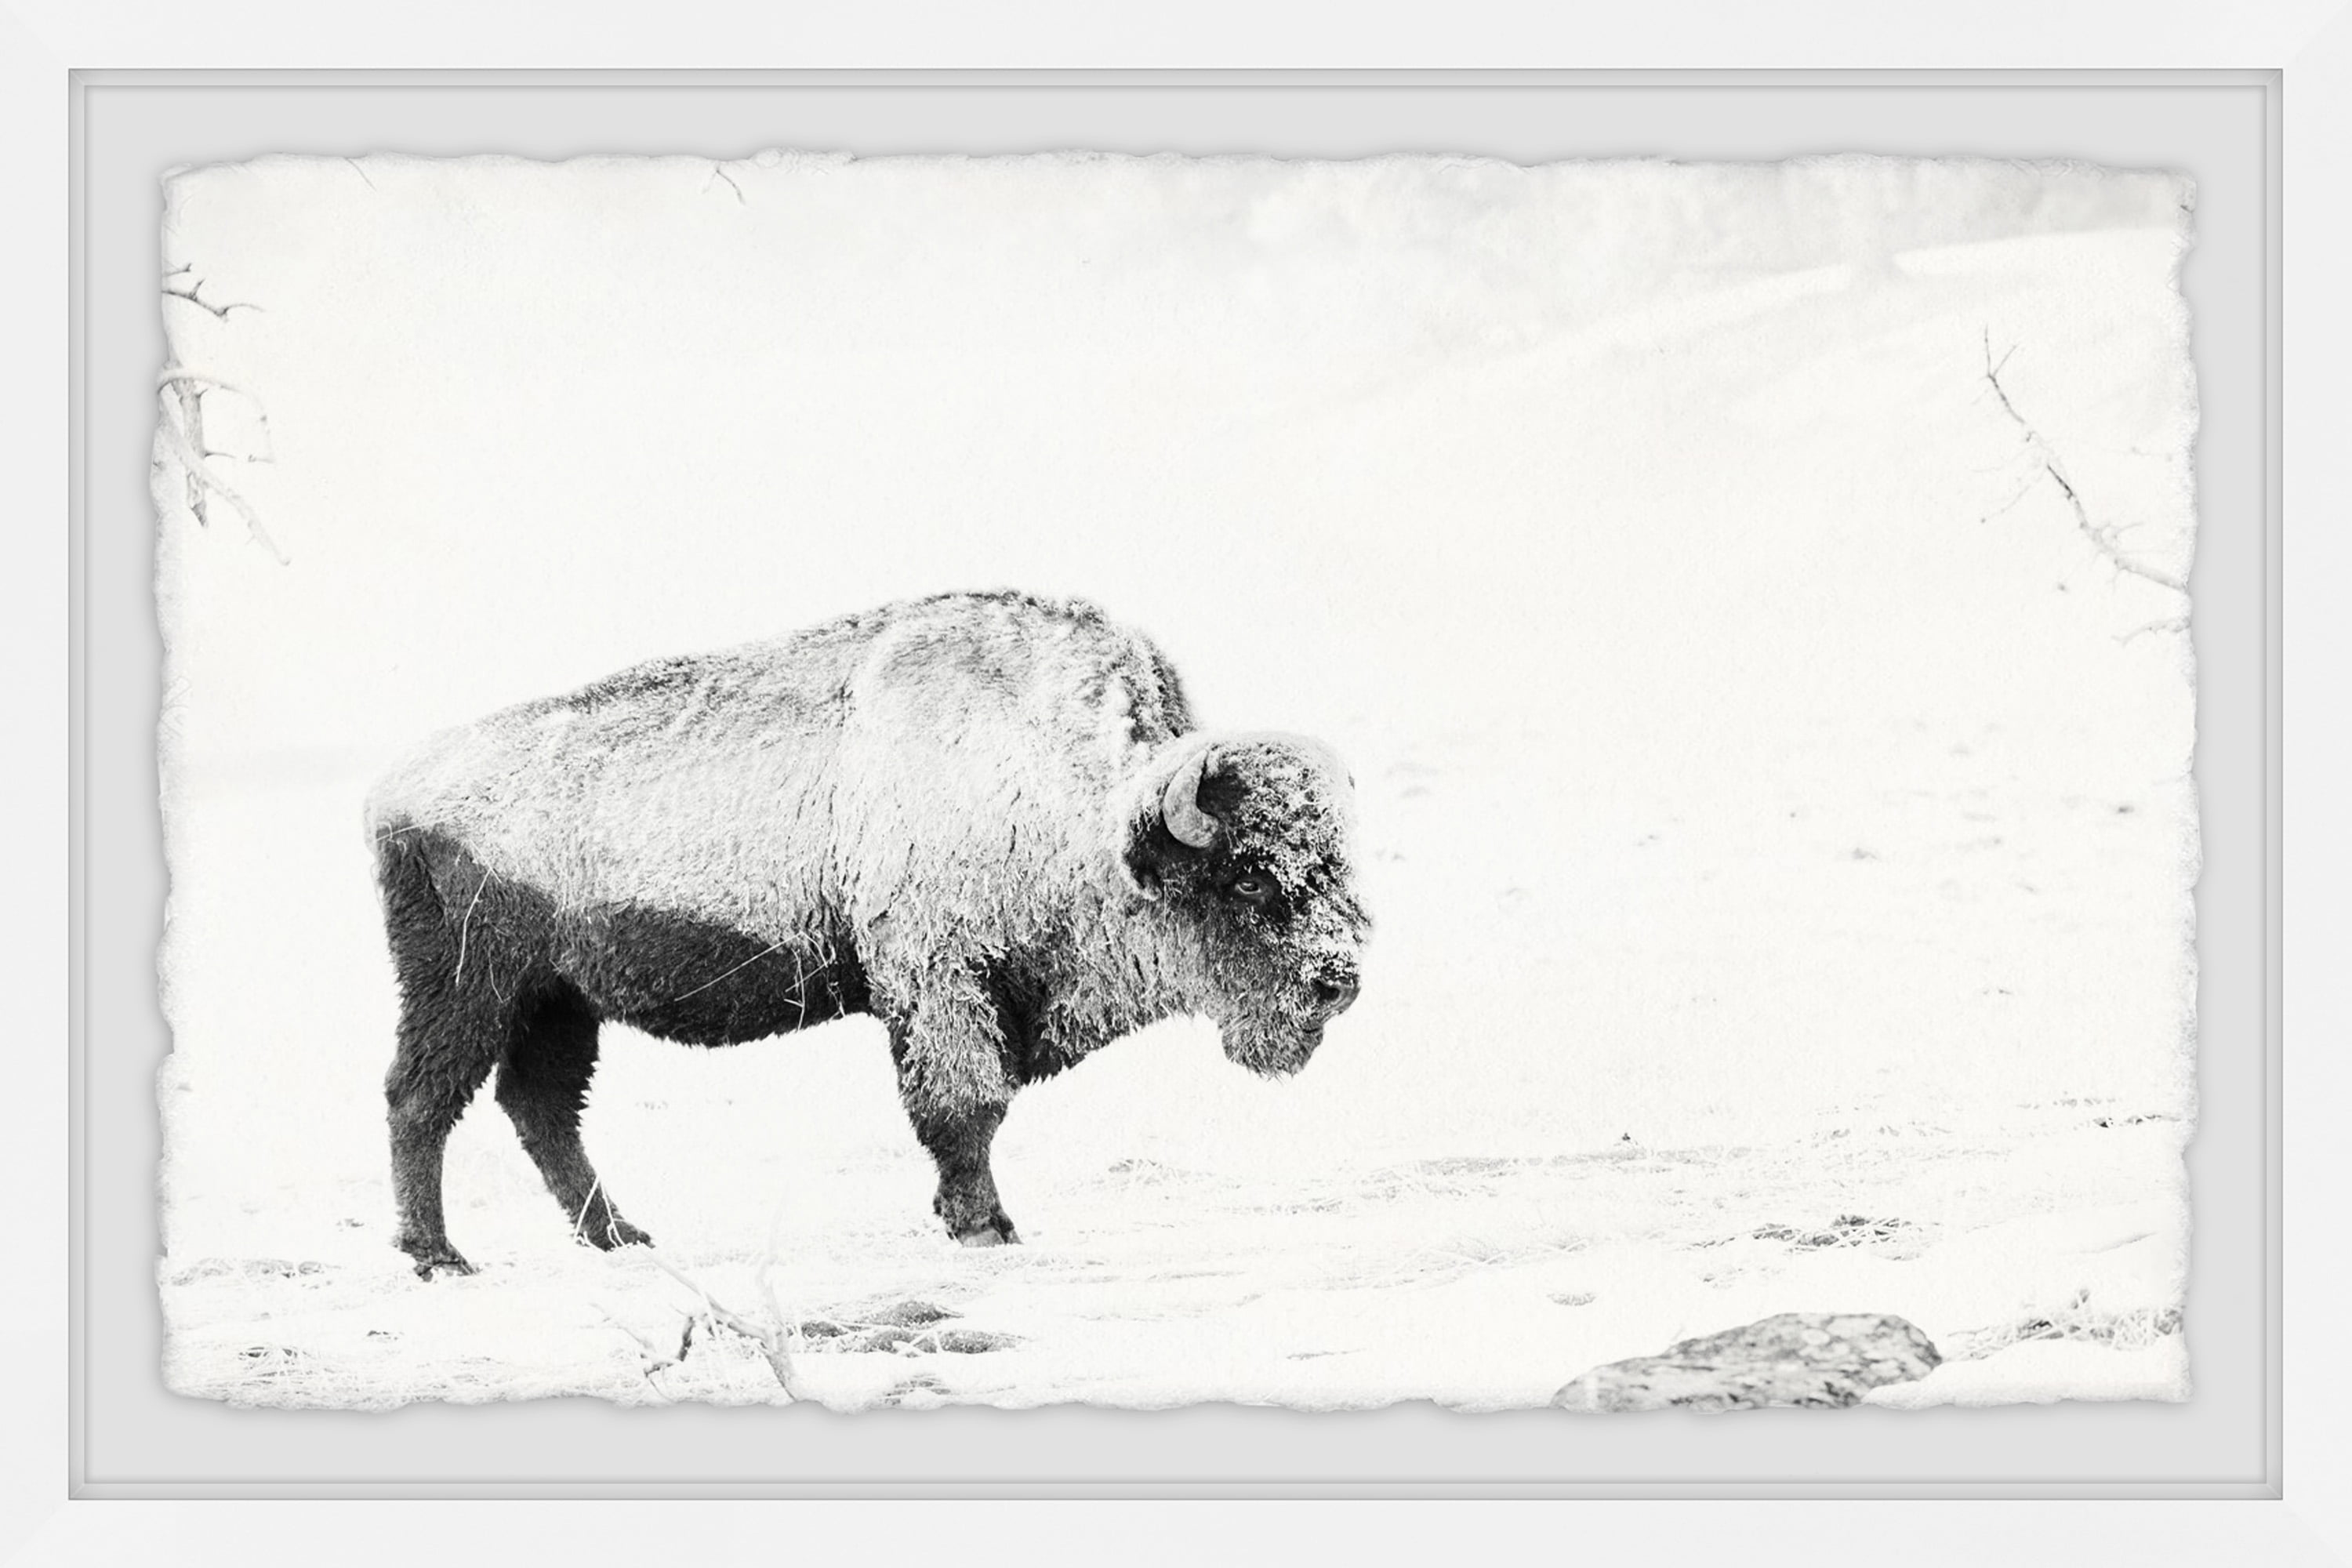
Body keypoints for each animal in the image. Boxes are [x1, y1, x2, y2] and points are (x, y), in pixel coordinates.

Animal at [367, 590, 1368, 1277]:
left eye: (1334, 859)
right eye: (1248, 873)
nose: (1340, 978)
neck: (1077, 805)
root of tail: (398, 787)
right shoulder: (937, 978)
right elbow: (965, 1104)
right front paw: (985, 1226)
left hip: (559, 1003)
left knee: (540, 1108)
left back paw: (622, 1236)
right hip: (468, 987)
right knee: (421, 1099)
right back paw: (439, 1256)